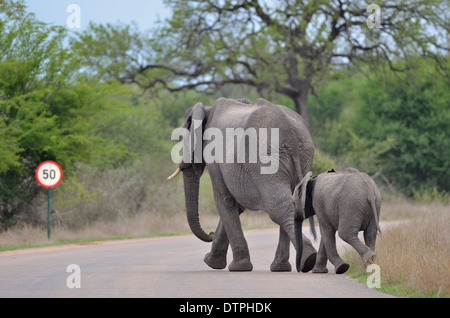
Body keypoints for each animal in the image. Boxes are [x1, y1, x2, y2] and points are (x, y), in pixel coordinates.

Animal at [168, 98, 316, 272]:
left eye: (181, 138)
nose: (210, 233)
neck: (207, 109)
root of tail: (292, 133)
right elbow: (236, 205)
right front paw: (212, 262)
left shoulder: (214, 159)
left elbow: (224, 200)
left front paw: (236, 267)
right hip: (303, 155)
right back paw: (282, 267)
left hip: (266, 160)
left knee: (278, 207)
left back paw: (307, 259)